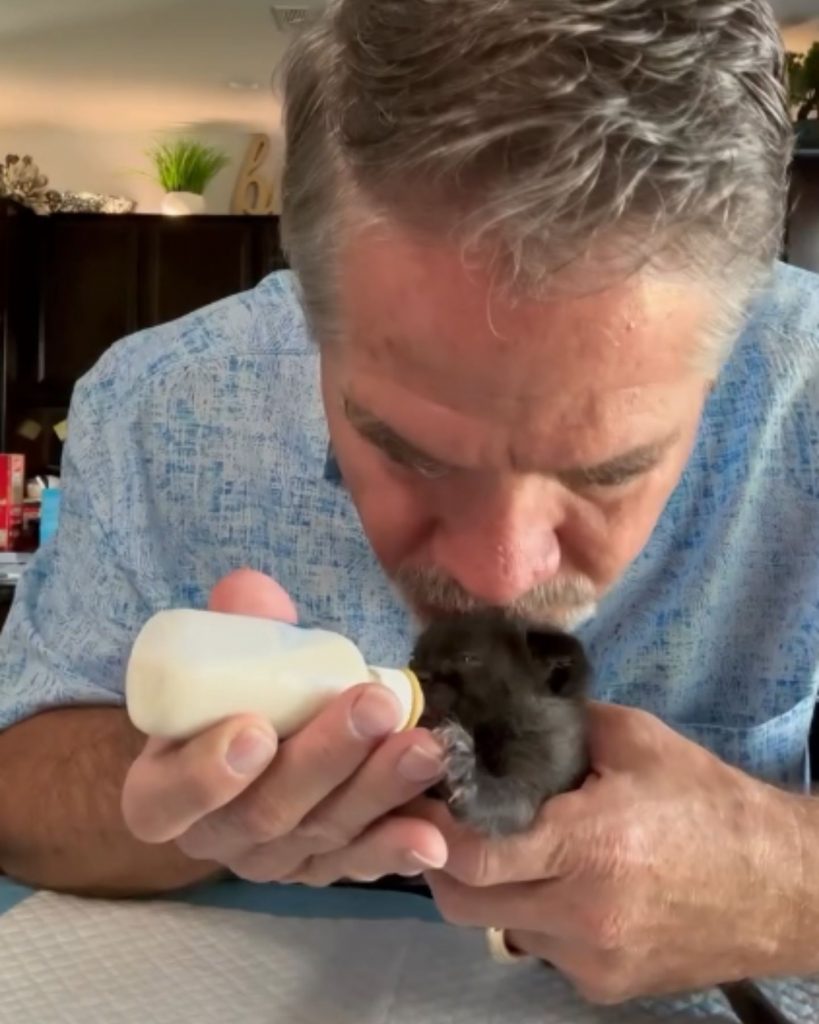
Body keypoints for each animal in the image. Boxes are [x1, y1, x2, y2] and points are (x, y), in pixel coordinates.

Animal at [409, 606, 589, 831]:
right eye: (414, 657)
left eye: (466, 659)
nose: (418, 673)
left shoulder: (527, 789)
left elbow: (496, 795)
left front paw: (467, 773)